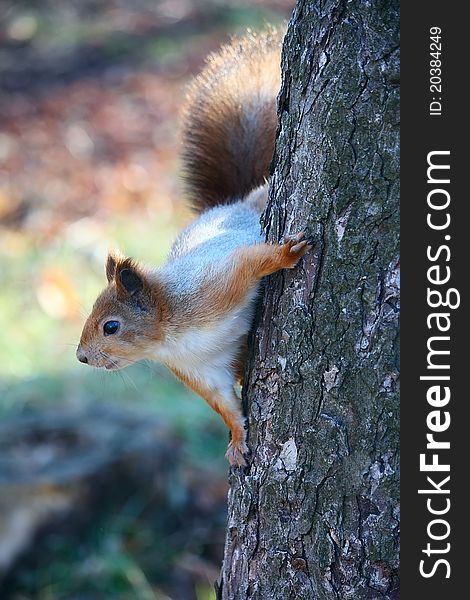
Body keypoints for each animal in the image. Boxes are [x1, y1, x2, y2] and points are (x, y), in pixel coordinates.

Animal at [76, 27, 312, 468]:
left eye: (110, 326)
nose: (81, 357)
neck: (170, 336)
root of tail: (230, 204)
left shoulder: (215, 285)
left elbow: (251, 262)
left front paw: (287, 255)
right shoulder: (201, 372)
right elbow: (224, 405)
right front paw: (236, 441)